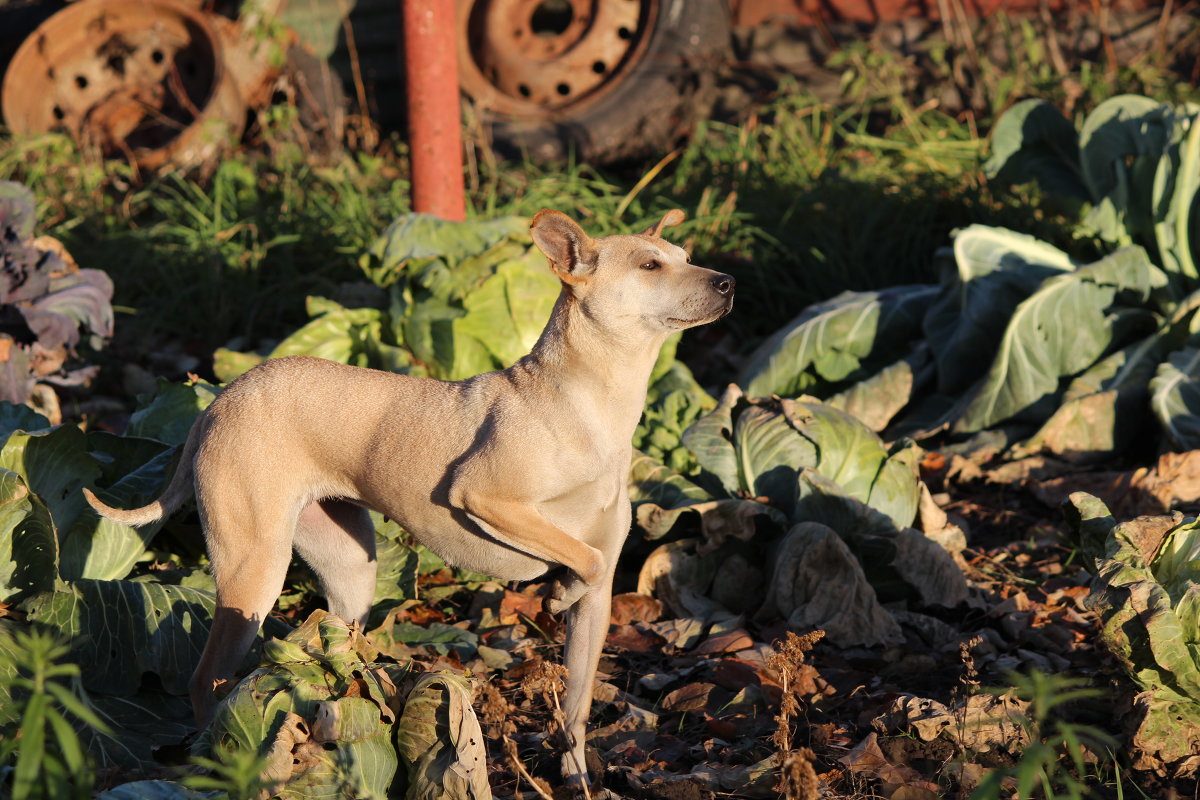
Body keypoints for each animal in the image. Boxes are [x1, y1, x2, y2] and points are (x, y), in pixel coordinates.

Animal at [82, 208, 729, 786]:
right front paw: (559, 588)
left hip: (349, 570)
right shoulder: (485, 498)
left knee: (332, 649)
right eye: (650, 265)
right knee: (207, 679)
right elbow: (581, 559)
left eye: (686, 257)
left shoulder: (596, 608)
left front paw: (576, 777)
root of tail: (219, 399)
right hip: (253, 570)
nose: (727, 282)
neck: (588, 402)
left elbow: (576, 702)